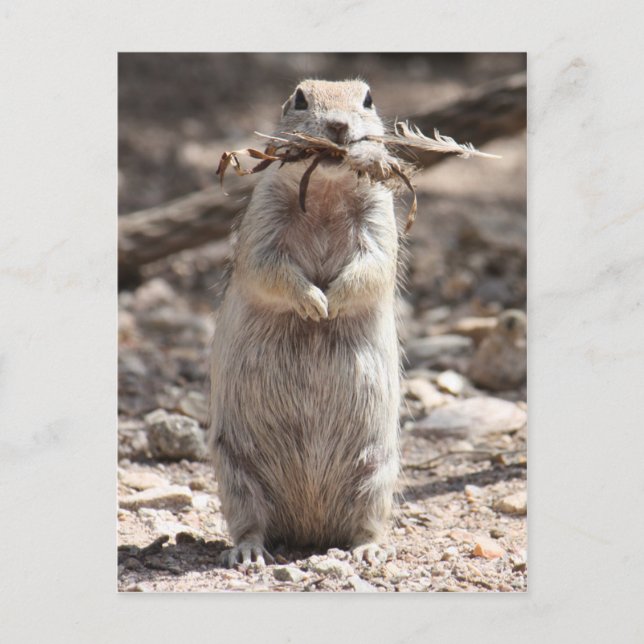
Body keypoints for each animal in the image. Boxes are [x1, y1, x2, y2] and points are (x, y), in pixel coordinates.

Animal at [209, 80, 401, 567]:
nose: (338, 126)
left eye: (368, 99)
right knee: (250, 522)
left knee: (368, 521)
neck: (326, 192)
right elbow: (267, 266)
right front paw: (315, 303)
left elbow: (372, 265)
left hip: (378, 471)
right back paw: (249, 553)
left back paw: (369, 550)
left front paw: (331, 303)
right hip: (235, 473)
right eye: (299, 98)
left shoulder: (380, 218)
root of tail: (310, 529)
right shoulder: (263, 217)